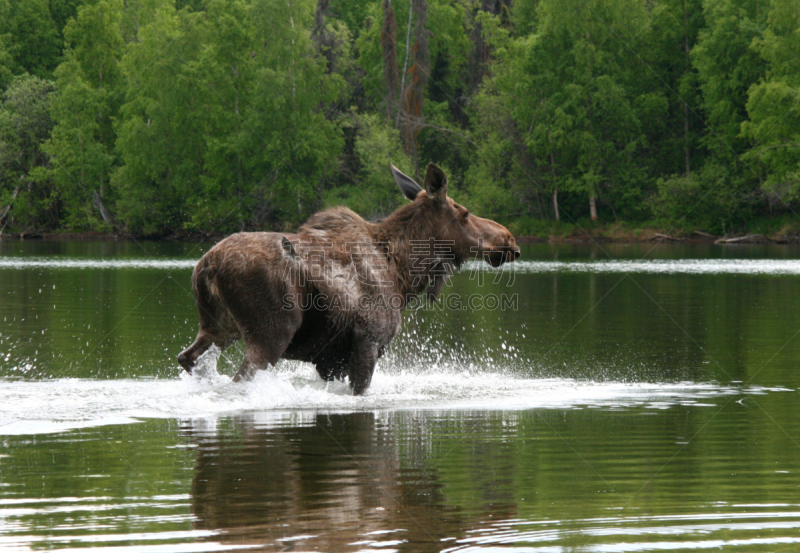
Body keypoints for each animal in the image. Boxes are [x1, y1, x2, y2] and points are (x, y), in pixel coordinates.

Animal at [178, 162, 520, 394]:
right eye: (465, 213)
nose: (509, 239)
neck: (404, 276)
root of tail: (208, 266)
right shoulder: (368, 341)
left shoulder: (330, 360)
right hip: (270, 332)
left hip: (217, 328)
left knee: (188, 358)